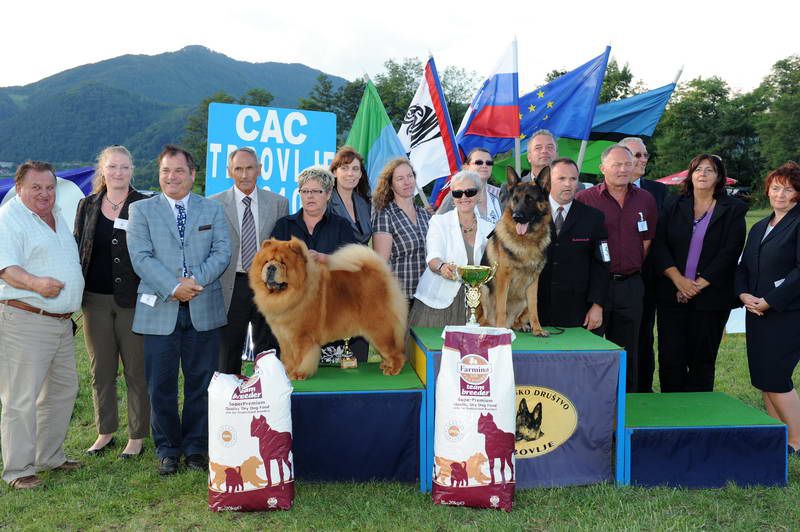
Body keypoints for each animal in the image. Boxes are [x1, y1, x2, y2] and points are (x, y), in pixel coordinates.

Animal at [250, 236, 410, 378]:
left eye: (283, 263)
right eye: (267, 261)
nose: (271, 267)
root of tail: (382, 276)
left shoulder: (302, 337)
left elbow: (301, 358)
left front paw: (297, 374)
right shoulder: (284, 338)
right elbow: (288, 357)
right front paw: (287, 372)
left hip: (379, 330)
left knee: (396, 352)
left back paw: (393, 369)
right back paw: (385, 365)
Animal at [482, 166, 552, 336]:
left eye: (530, 199)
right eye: (515, 199)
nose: (516, 217)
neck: (527, 241)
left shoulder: (533, 282)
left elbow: (534, 308)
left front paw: (538, 329)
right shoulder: (503, 278)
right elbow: (501, 308)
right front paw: (500, 331)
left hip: (523, 298)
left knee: (519, 317)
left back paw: (520, 325)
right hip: (484, 290)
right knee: (486, 317)